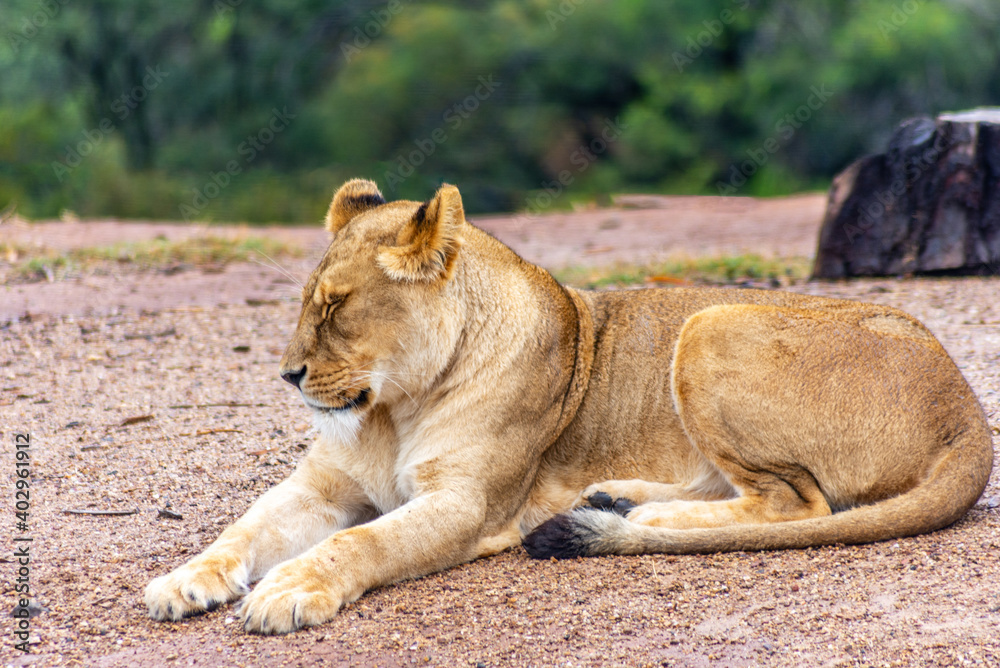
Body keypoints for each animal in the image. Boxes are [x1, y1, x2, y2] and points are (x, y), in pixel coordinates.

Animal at [145, 179, 993, 634]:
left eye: (336, 307)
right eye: (304, 305)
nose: (288, 376)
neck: (394, 408)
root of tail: (968, 410)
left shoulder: (467, 505)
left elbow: (364, 543)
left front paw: (290, 590)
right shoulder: (322, 486)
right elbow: (243, 528)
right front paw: (184, 581)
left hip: (708, 323)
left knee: (798, 504)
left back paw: (639, 516)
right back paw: (612, 498)